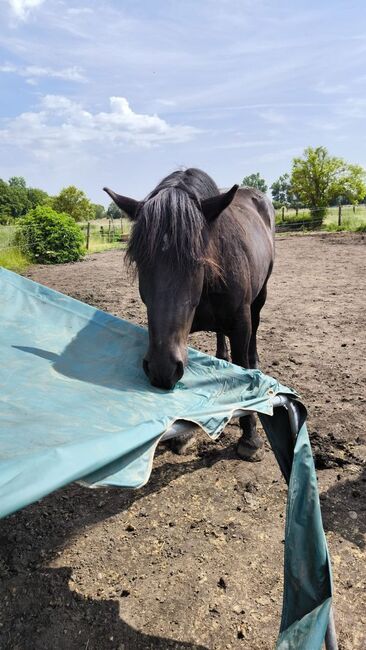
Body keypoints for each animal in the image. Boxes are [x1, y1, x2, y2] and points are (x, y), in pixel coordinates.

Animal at [103, 167, 274, 460]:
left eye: (196, 261)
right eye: (140, 261)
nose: (160, 370)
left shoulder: (240, 324)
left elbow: (244, 371)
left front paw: (250, 438)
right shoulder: (181, 331)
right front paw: (183, 436)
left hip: (260, 296)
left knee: (254, 334)